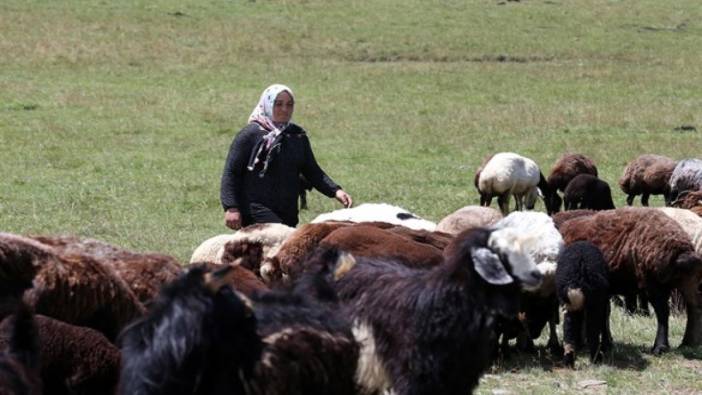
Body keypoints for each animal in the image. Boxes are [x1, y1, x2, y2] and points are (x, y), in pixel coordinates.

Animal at [560, 209, 702, 354]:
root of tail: (682, 247)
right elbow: (604, 314)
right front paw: (606, 343)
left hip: (653, 282)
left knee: (663, 313)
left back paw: (660, 347)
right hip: (686, 281)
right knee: (694, 307)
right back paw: (688, 342)